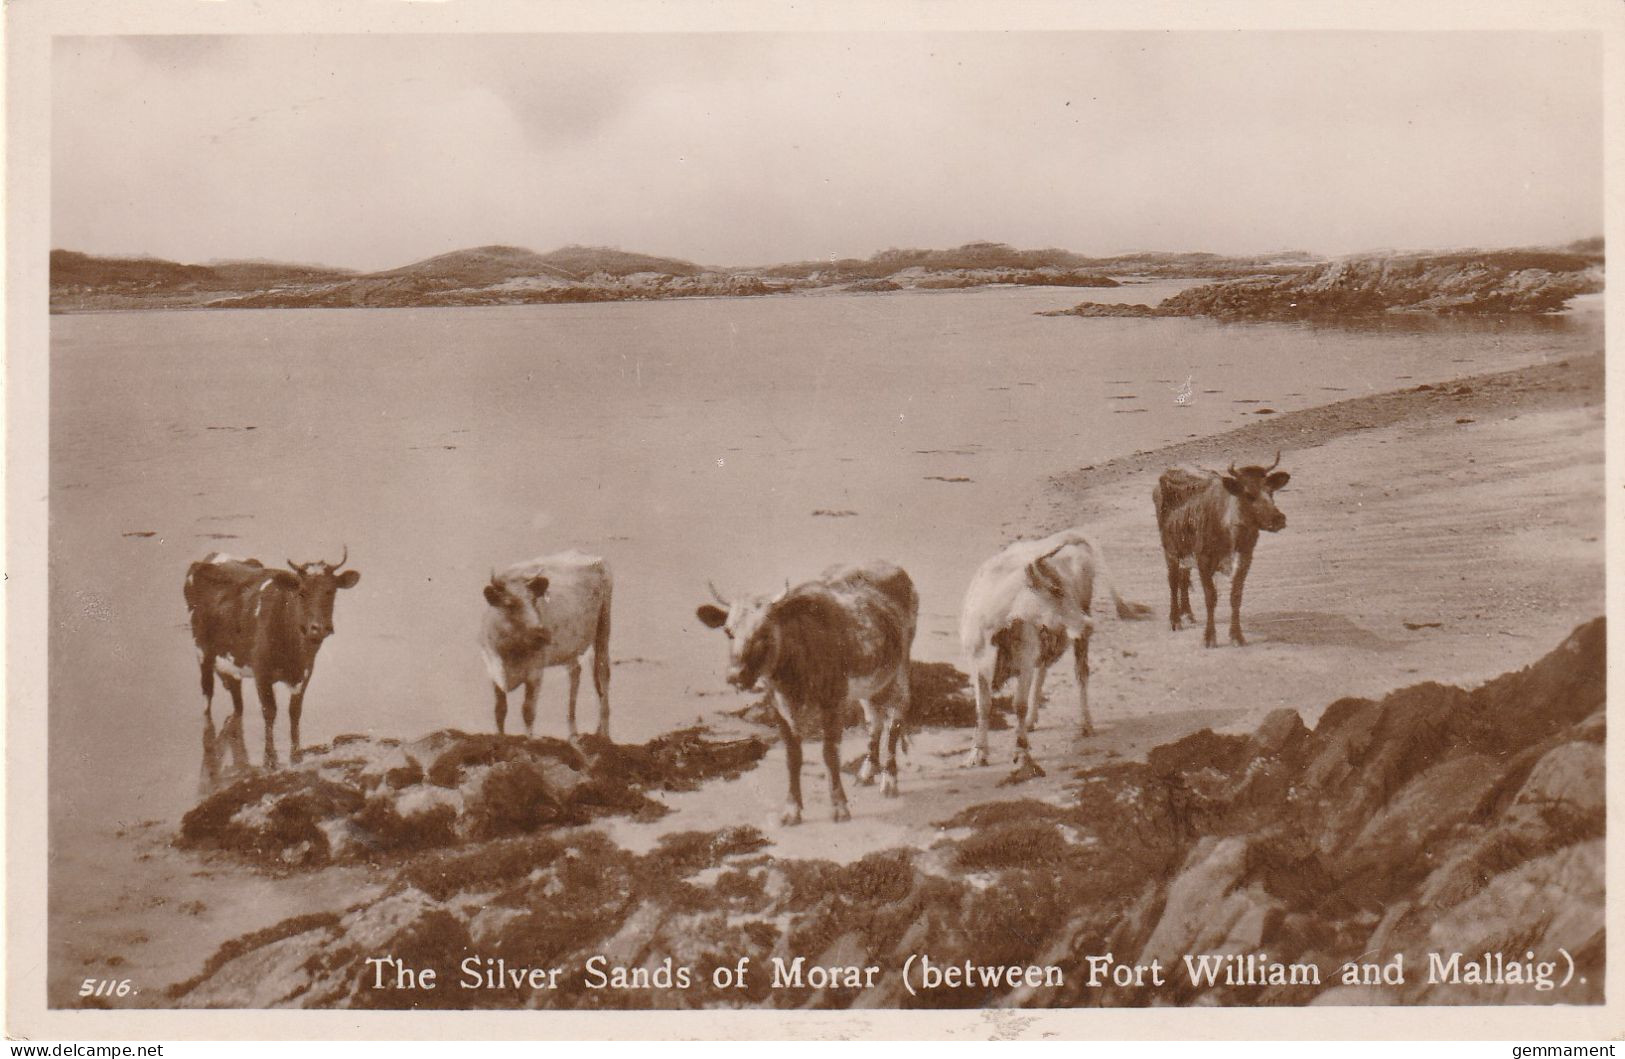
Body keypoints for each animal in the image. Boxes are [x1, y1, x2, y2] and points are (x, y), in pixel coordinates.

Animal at [185, 548, 362, 766]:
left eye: (331, 591)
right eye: (302, 592)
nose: (318, 628)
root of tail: (214, 555)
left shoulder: (305, 672)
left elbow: (294, 712)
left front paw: (296, 754)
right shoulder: (261, 672)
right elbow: (270, 711)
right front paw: (270, 757)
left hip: (232, 660)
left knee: (237, 700)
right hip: (202, 651)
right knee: (207, 694)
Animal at [481, 548, 614, 740]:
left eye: (534, 601)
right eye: (509, 604)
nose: (542, 633)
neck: (510, 652)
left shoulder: (535, 672)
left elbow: (528, 710)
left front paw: (529, 740)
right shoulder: (494, 672)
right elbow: (500, 710)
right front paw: (500, 738)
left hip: (603, 627)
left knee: (603, 675)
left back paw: (604, 735)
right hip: (571, 646)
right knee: (575, 673)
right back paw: (572, 729)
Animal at [695, 561, 923, 828]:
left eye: (764, 632)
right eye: (728, 632)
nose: (735, 676)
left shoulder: (833, 702)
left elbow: (830, 754)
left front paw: (839, 806)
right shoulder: (779, 706)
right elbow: (793, 757)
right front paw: (792, 809)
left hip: (901, 670)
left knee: (895, 720)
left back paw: (889, 780)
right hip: (871, 681)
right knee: (873, 721)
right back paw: (867, 772)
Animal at [955, 532, 1150, 766]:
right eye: (1056, 590)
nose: (1089, 624)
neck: (993, 626)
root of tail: (1070, 535)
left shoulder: (1025, 661)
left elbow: (1019, 705)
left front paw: (1021, 751)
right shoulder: (977, 666)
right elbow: (983, 707)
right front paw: (978, 752)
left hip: (1078, 635)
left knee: (1080, 674)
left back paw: (1085, 724)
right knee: (1043, 670)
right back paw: (1032, 721)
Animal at [1157, 451, 1293, 649]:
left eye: (1270, 492)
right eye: (1248, 494)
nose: (1278, 519)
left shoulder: (1245, 556)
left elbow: (1236, 595)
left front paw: (1237, 635)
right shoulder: (1203, 558)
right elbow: (1210, 596)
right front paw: (1209, 637)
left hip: (1185, 551)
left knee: (1184, 577)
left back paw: (1188, 614)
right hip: (1170, 549)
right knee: (1173, 581)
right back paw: (1175, 620)